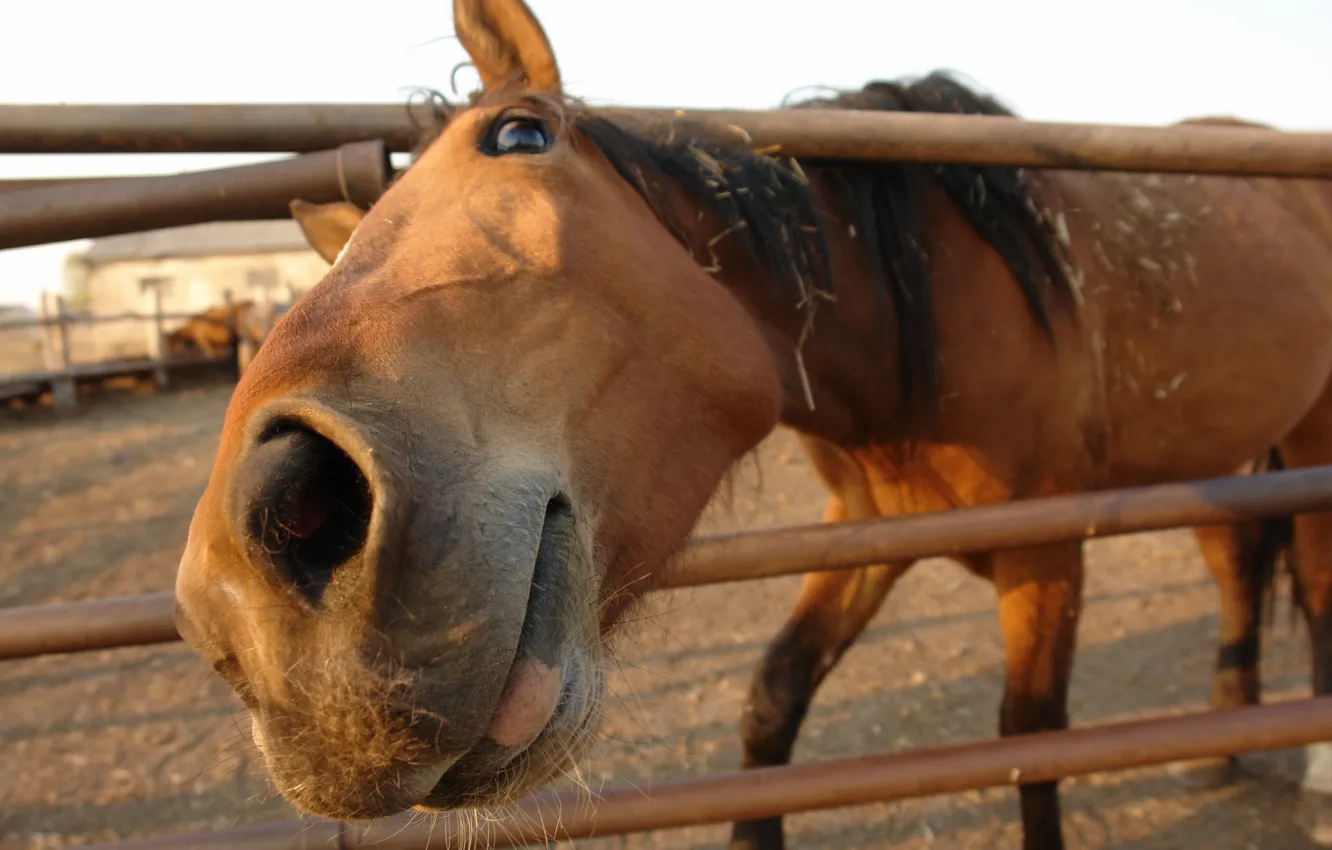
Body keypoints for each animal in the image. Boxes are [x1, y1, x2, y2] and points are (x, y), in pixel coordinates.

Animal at [171, 1, 1332, 847]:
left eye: (520, 134)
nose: (244, 584)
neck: (923, 313)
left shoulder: (1045, 550)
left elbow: (1031, 739)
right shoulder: (869, 526)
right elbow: (772, 699)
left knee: (1313, 583)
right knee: (1239, 559)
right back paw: (1224, 734)